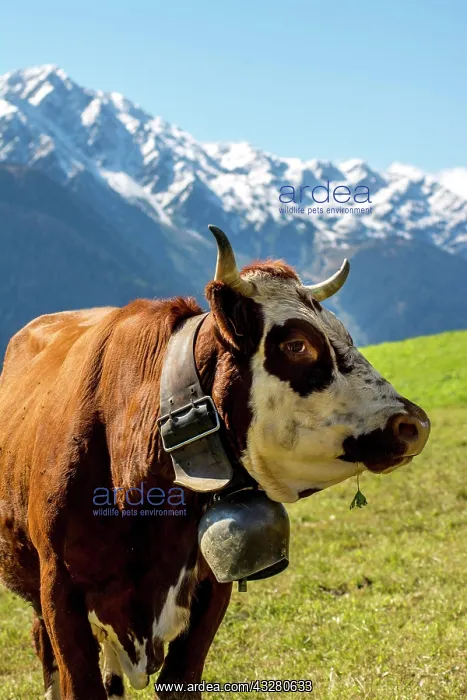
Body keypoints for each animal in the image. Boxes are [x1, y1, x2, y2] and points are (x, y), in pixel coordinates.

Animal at [0, 225, 430, 699]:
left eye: (346, 335)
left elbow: (181, 678)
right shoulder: (59, 592)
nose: (414, 423)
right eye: (297, 344)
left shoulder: (209, 590)